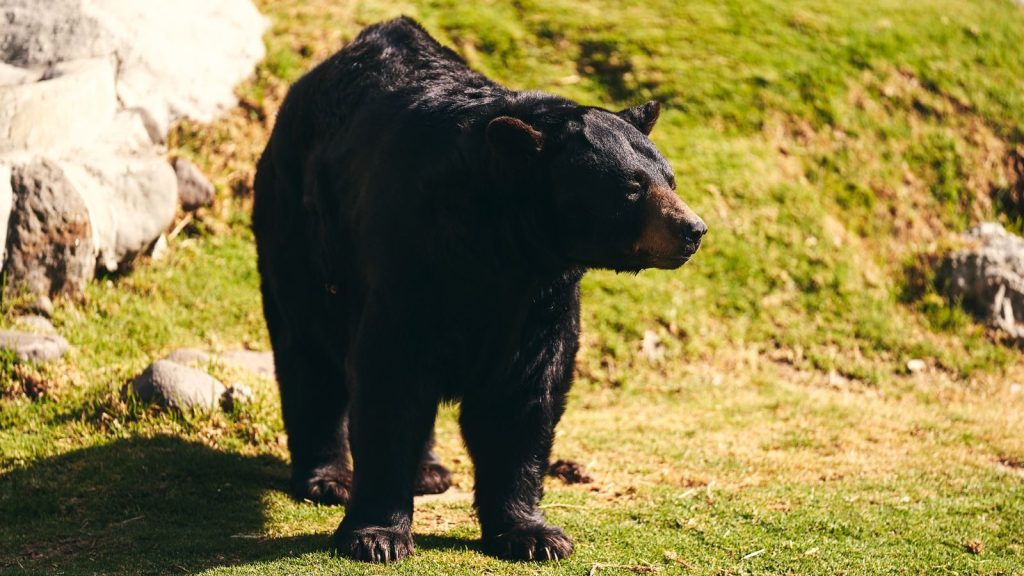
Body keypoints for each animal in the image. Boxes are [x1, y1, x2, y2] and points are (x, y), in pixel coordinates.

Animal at [252, 16, 706, 563]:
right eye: (633, 188)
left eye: (670, 179)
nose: (693, 229)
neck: (502, 247)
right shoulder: (413, 258)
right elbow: (390, 378)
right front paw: (377, 535)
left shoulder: (539, 301)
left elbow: (524, 397)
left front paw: (533, 533)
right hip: (301, 230)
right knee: (309, 352)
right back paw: (328, 477)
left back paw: (429, 471)